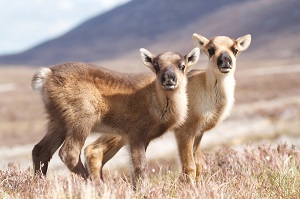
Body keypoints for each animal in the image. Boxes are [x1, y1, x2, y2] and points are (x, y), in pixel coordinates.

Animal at [31, 47, 200, 187]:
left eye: (182, 65)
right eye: (157, 66)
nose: (169, 78)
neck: (156, 101)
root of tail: (46, 75)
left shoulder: (143, 138)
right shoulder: (135, 134)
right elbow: (140, 166)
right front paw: (141, 190)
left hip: (57, 121)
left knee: (40, 150)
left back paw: (38, 184)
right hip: (82, 119)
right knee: (68, 152)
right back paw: (95, 185)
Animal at [82, 33, 251, 183]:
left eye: (235, 49)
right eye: (210, 49)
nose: (225, 61)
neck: (206, 88)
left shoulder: (198, 133)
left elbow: (199, 165)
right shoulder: (184, 132)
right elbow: (189, 166)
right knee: (92, 150)